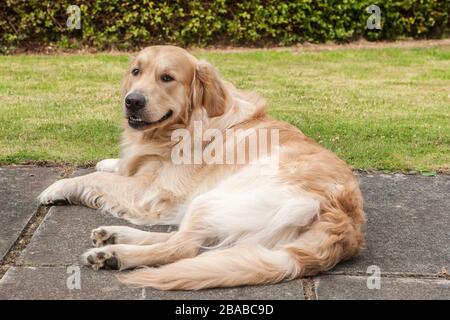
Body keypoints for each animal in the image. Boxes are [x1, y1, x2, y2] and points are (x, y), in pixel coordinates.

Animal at [37, 45, 364, 290]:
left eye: (167, 77)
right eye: (136, 71)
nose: (132, 101)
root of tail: (344, 220)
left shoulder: (151, 190)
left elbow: (96, 178)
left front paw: (56, 187)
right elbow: (116, 166)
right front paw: (111, 162)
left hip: (215, 199)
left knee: (182, 247)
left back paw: (113, 254)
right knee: (184, 239)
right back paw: (113, 237)